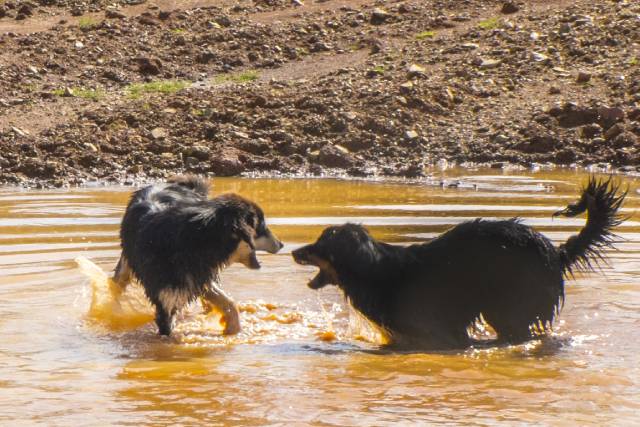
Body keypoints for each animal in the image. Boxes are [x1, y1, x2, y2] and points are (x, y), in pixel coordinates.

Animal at [113, 176, 282, 336]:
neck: (195, 241)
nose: (281, 244)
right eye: (262, 227)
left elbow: (229, 303)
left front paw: (233, 330)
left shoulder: (200, 276)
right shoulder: (166, 297)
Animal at [294, 179, 624, 350]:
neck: (373, 270)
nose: (294, 251)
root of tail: (555, 253)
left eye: (320, 245)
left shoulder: (439, 330)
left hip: (508, 308)